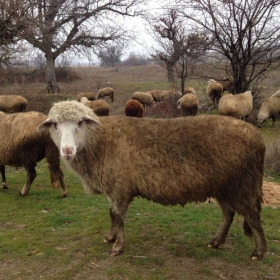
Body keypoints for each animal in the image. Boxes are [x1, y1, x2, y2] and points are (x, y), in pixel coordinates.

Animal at [37, 100, 266, 260]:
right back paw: (216, 242)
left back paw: (259, 252)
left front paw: (117, 247)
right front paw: (111, 237)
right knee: (228, 213)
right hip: (224, 186)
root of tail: (258, 137)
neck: (100, 141)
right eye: (54, 124)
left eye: (80, 122)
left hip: (243, 184)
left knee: (253, 217)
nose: (67, 151)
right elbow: (112, 215)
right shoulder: (114, 188)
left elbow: (118, 217)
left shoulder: (120, 188)